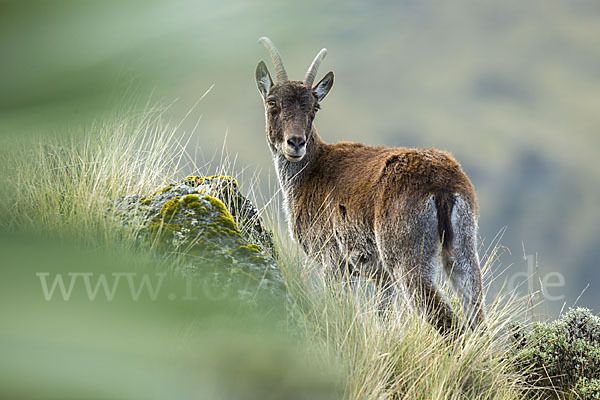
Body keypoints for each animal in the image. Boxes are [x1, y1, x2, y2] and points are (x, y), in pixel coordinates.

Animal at [255, 37, 486, 332]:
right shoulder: (381, 278)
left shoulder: (333, 261)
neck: (309, 172)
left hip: (407, 257)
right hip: (463, 249)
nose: (295, 143)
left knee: (445, 319)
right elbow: (383, 316)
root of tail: (442, 186)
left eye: (314, 108)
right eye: (273, 103)